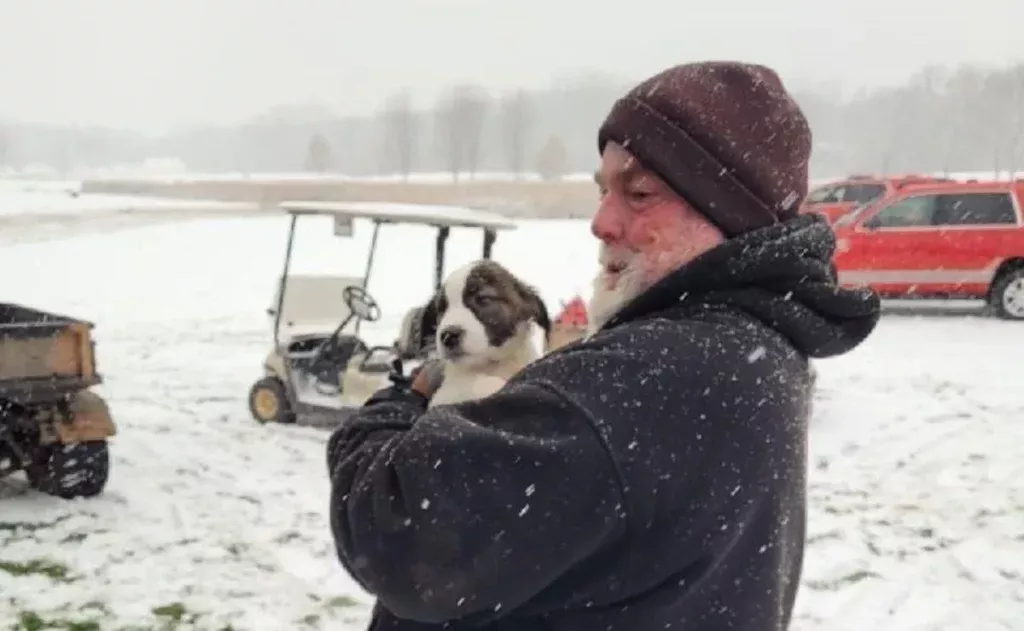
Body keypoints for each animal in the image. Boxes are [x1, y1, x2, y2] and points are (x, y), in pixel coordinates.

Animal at [425, 259, 548, 407]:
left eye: (483, 299)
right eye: (442, 309)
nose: (448, 336)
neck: (491, 365)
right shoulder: (445, 394)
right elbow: (480, 383)